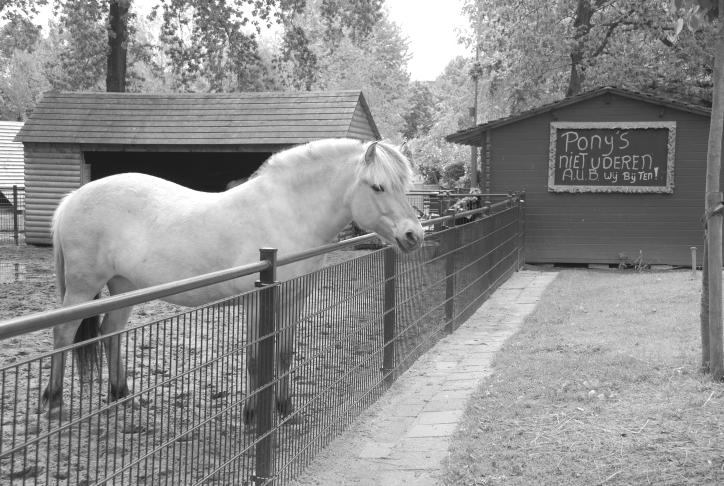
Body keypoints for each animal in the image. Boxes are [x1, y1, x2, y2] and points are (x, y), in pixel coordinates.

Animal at [43, 137, 424, 422]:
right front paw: (252, 416)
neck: (287, 213)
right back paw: (54, 403)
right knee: (63, 333)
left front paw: (285, 410)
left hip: (124, 286)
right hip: (82, 287)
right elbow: (256, 360)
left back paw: (121, 396)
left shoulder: (293, 299)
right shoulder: (257, 302)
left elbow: (284, 355)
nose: (414, 235)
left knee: (111, 332)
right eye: (378, 187)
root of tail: (72, 199)